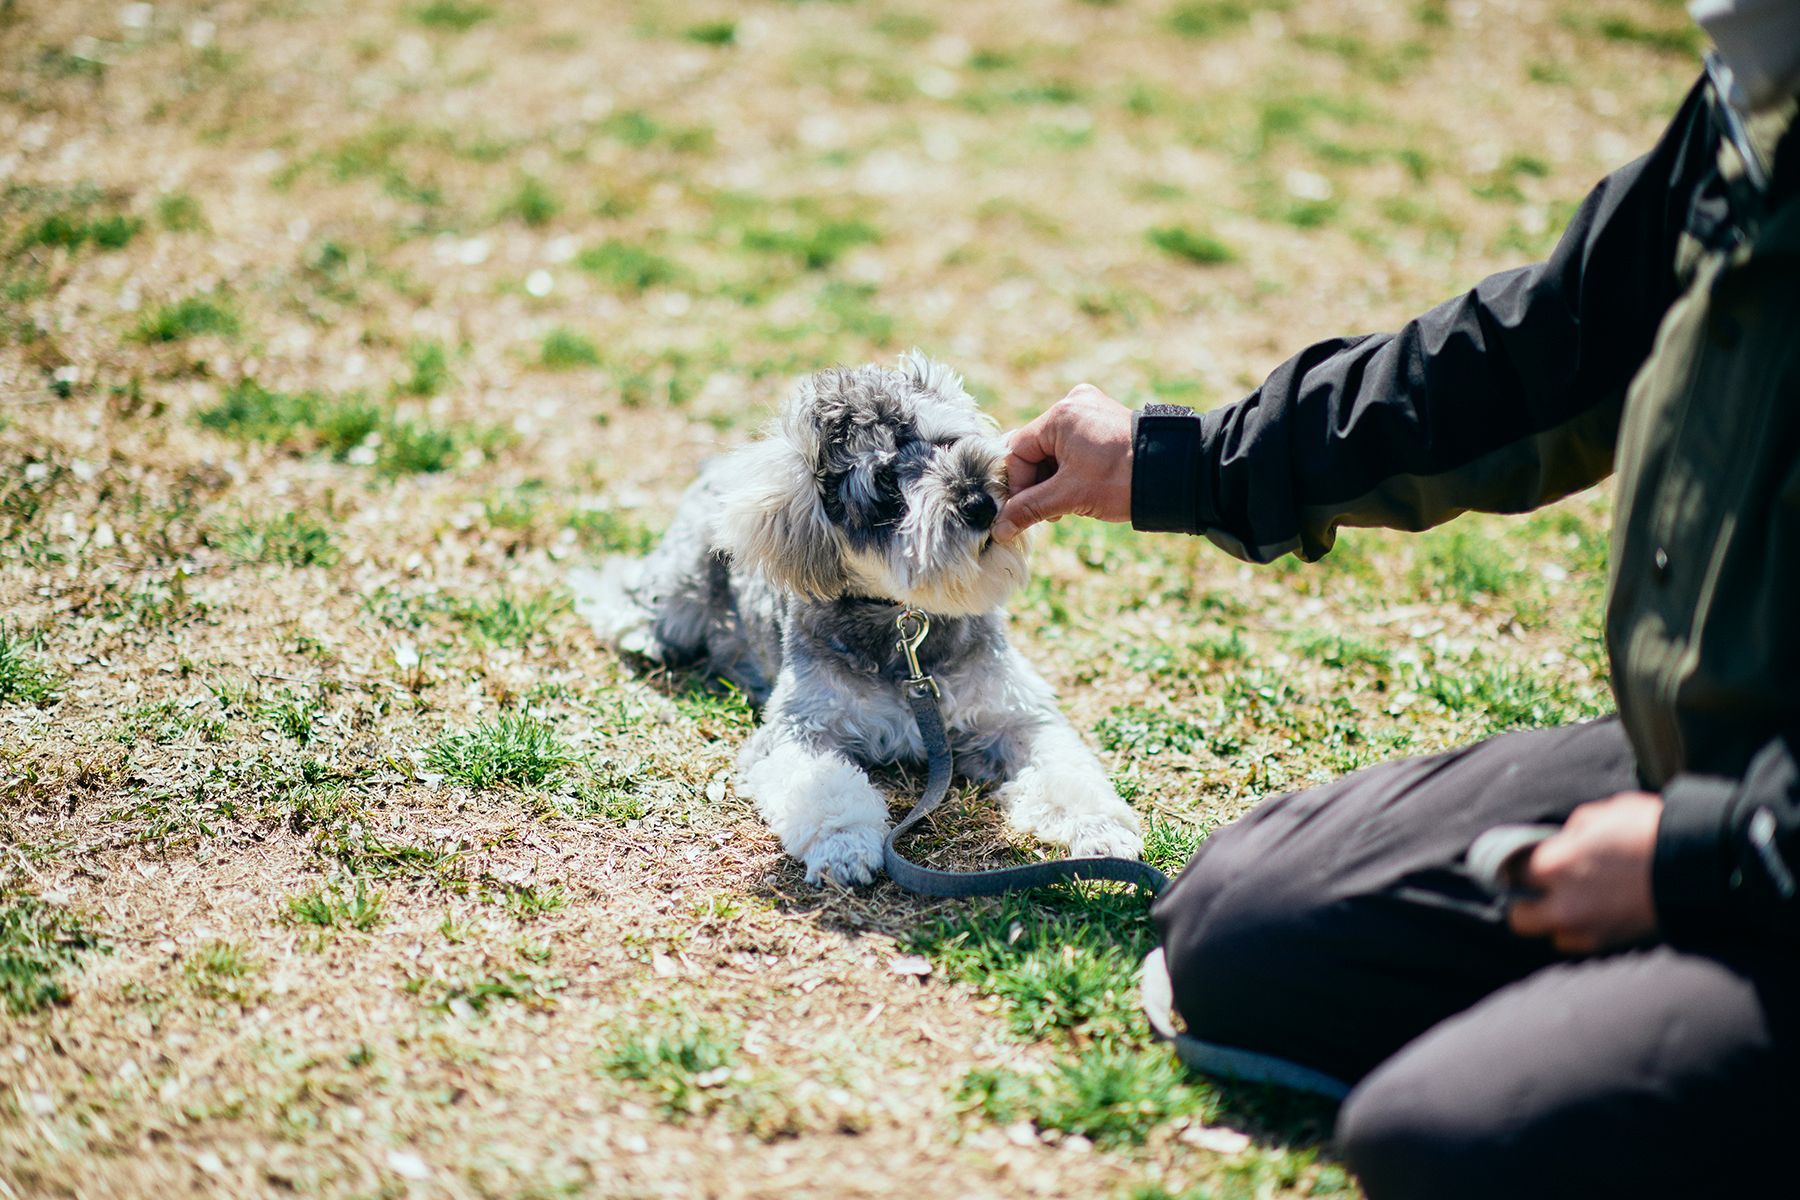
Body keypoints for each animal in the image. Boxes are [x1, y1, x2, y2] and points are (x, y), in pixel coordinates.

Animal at [572, 352, 1137, 888]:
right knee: (628, 592)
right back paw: (641, 634)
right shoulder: (799, 732)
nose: (979, 503)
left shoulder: (1015, 717)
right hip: (679, 587)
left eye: (947, 441)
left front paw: (1102, 829)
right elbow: (827, 788)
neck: (901, 626)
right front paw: (844, 845)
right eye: (886, 483)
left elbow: (1066, 769)